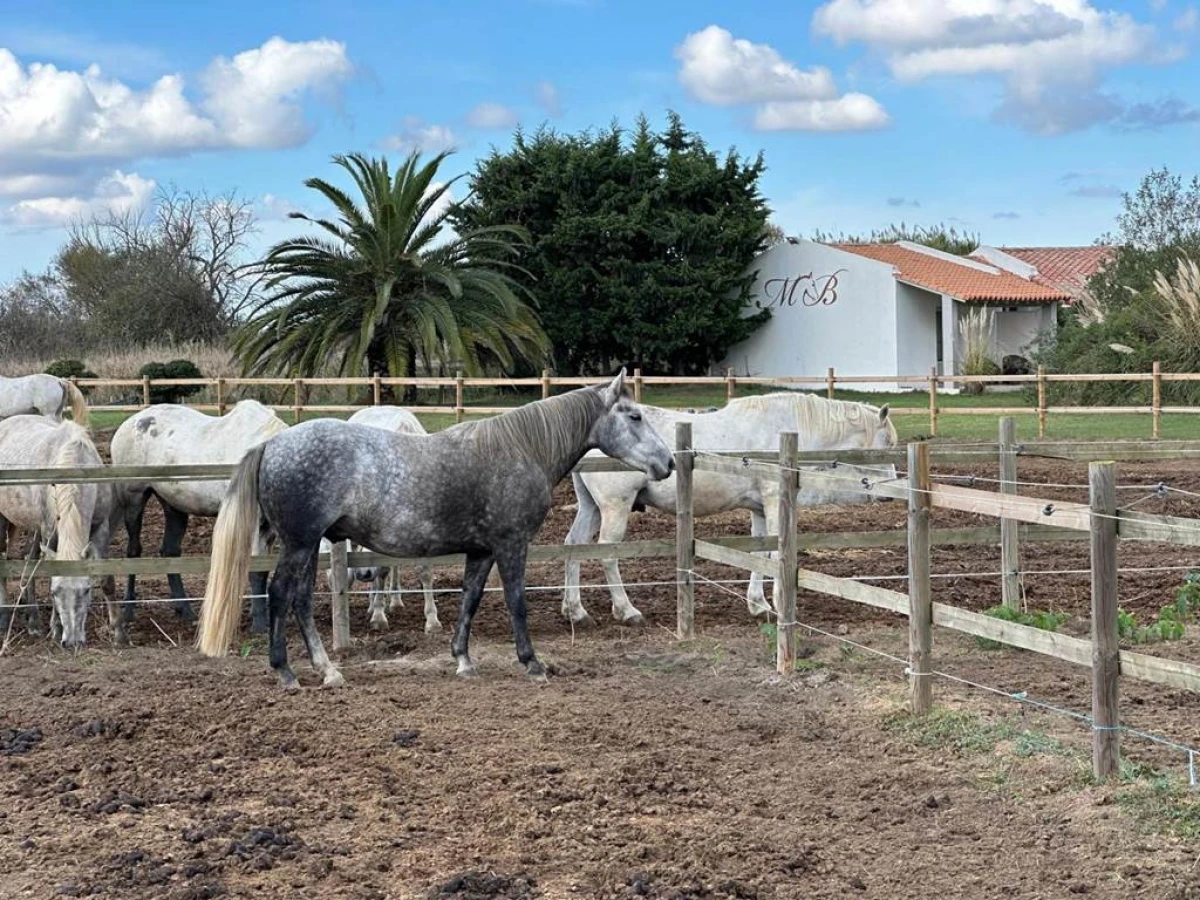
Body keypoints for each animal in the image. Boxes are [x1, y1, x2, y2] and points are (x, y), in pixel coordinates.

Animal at [0, 415, 115, 648]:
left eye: (87, 590)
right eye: (54, 592)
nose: (71, 641)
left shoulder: (101, 528)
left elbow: (105, 578)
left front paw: (119, 632)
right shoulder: (50, 533)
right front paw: (55, 628)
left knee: (29, 563)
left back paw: (33, 622)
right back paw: (6, 620)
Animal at [112, 398, 290, 638]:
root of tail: (130, 423)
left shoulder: (268, 528)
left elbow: (262, 571)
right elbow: (254, 571)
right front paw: (260, 624)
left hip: (174, 507)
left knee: (169, 552)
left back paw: (185, 609)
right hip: (134, 501)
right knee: (133, 552)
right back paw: (129, 610)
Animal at [319, 408, 441, 633]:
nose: (364, 574)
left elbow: (424, 571)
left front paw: (432, 619)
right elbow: (380, 570)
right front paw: (377, 614)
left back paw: (394, 599)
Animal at [559, 393, 892, 628]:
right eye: (887, 444)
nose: (890, 490)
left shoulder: (759, 510)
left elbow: (760, 553)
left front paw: (758, 604)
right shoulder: (776, 503)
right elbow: (775, 554)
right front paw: (779, 603)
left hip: (592, 509)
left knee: (574, 546)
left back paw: (575, 610)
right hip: (616, 507)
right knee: (608, 554)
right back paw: (626, 610)